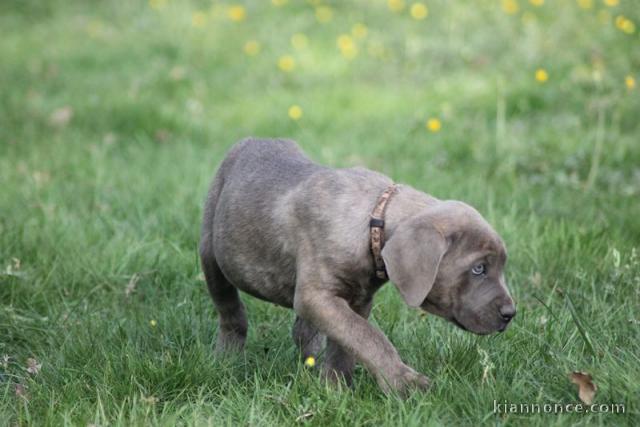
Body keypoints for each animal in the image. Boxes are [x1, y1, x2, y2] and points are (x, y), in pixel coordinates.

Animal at [199, 139, 516, 396]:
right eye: (478, 269)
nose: (510, 314)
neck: (373, 220)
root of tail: (250, 140)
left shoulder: (357, 300)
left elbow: (347, 342)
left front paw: (336, 388)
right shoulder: (318, 296)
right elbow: (368, 337)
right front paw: (403, 382)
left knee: (303, 331)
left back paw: (310, 362)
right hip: (211, 252)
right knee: (230, 311)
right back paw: (226, 356)